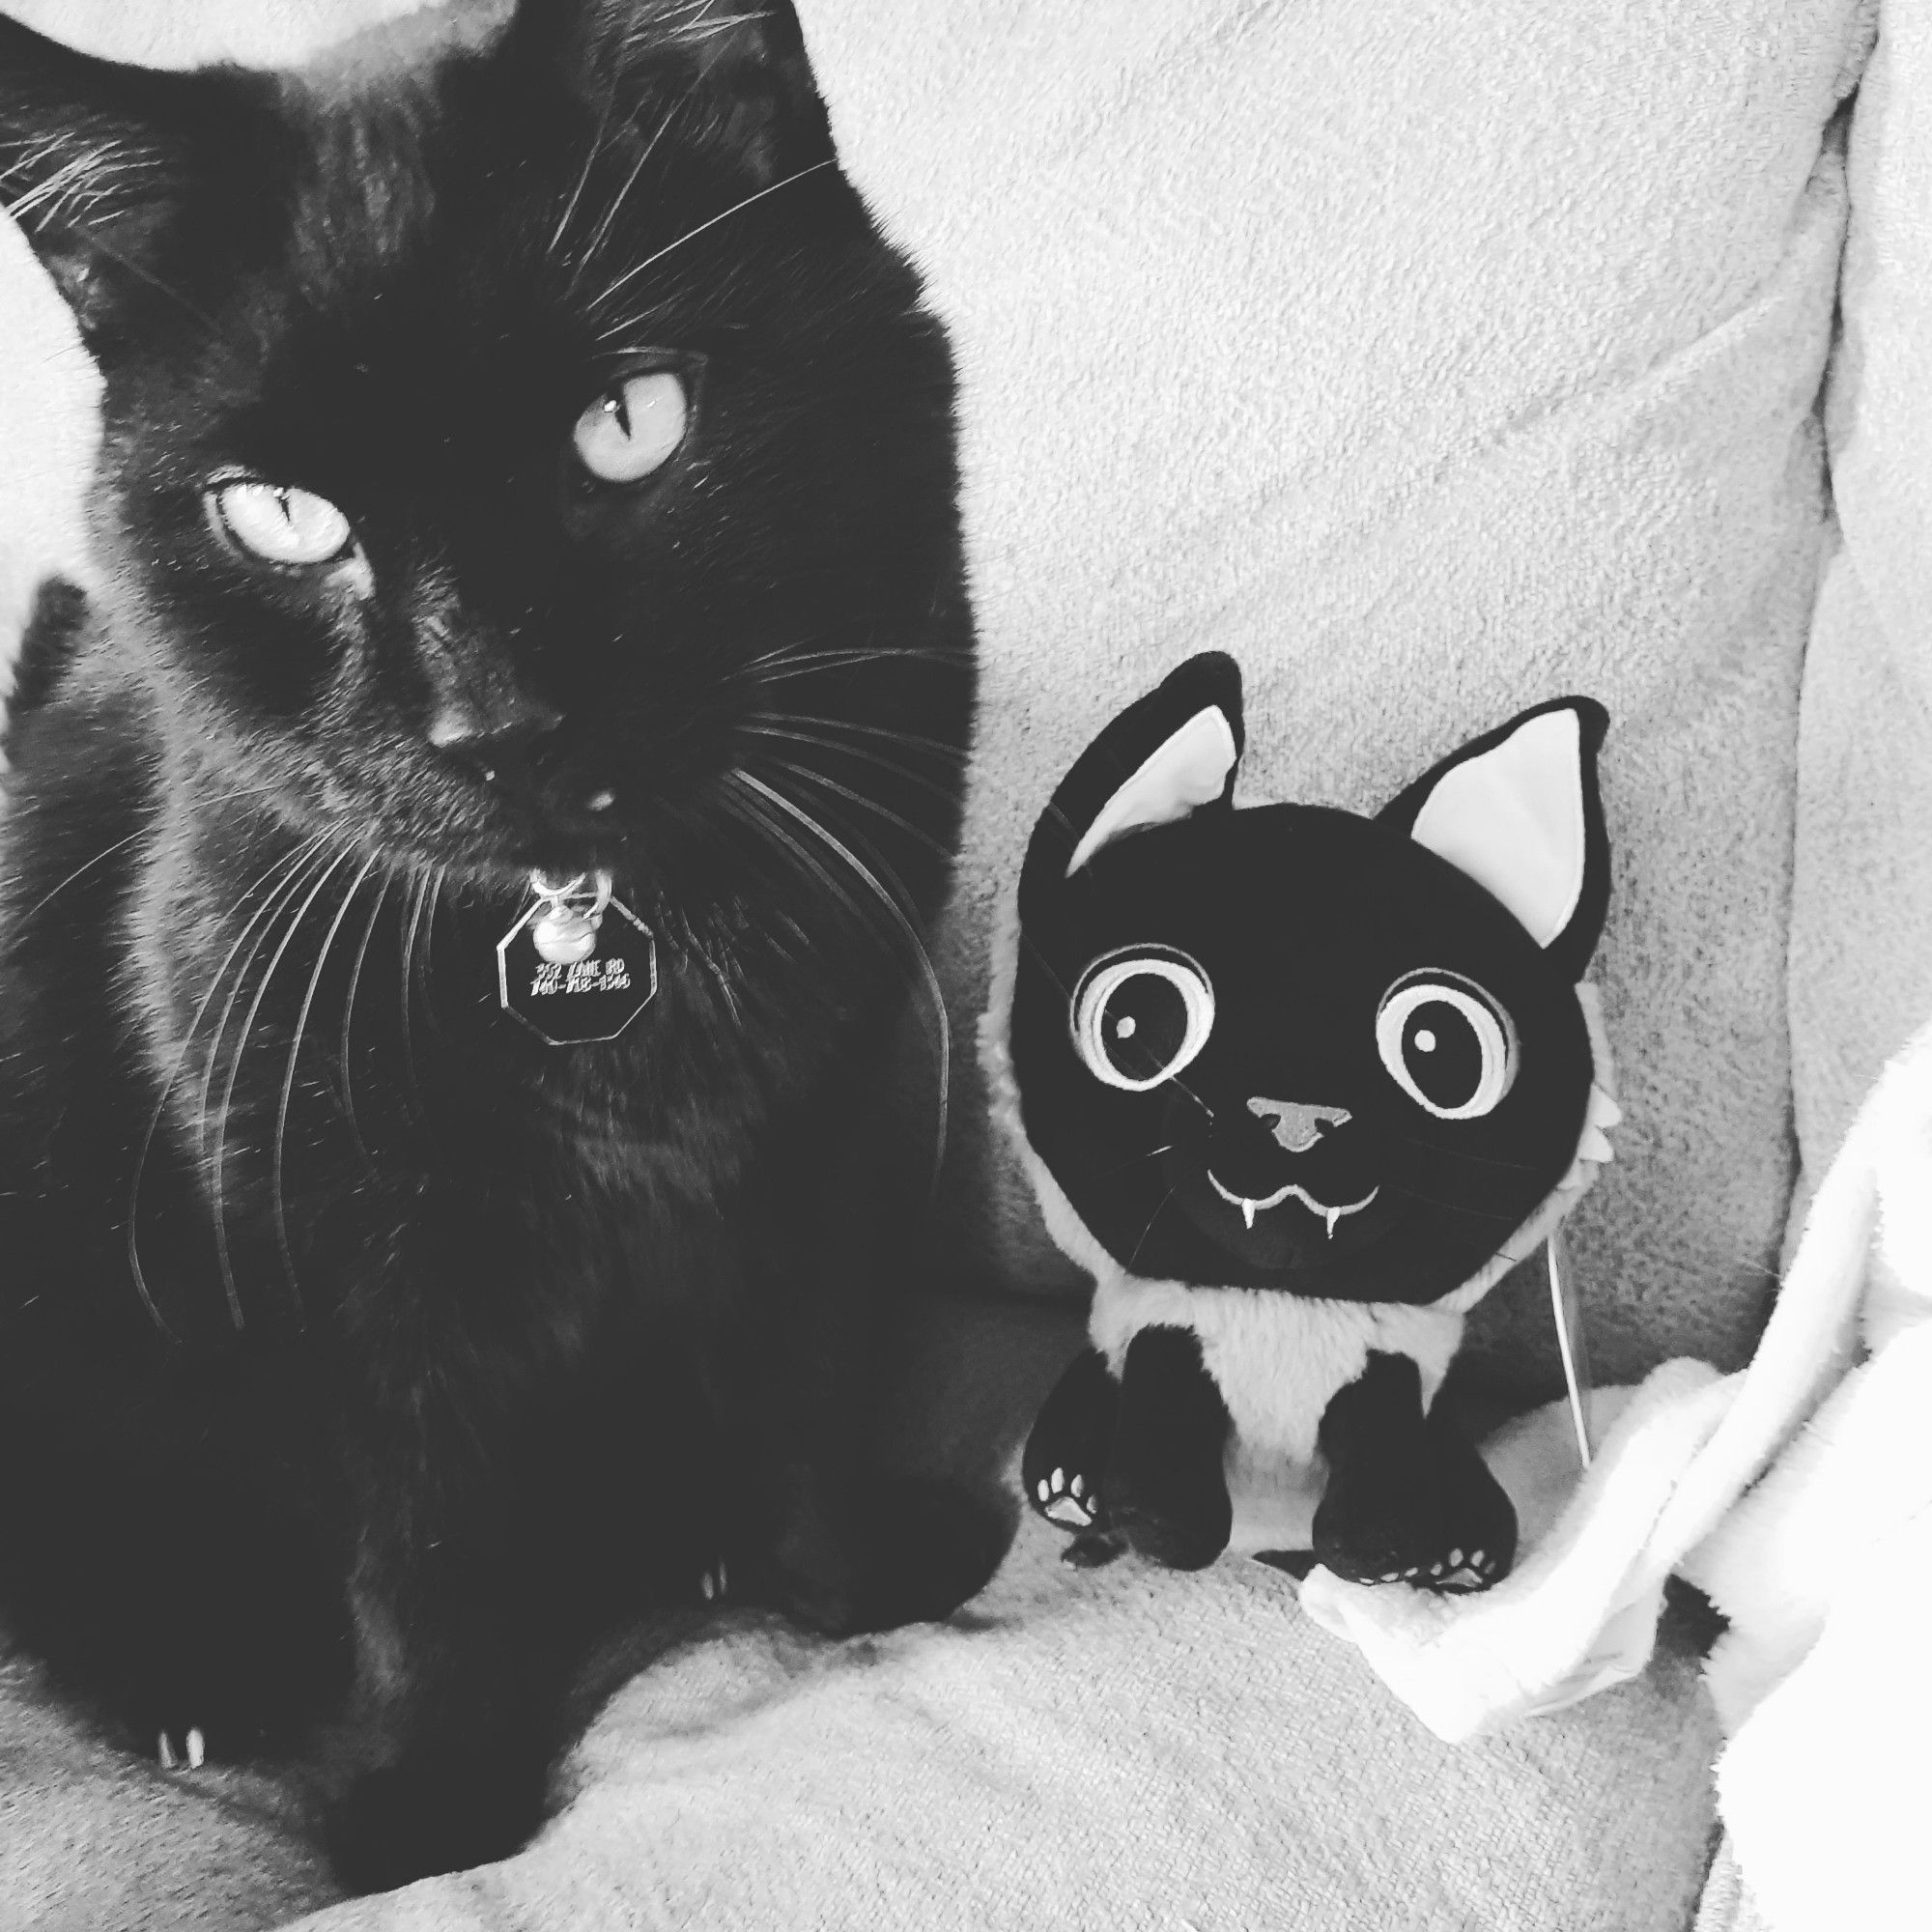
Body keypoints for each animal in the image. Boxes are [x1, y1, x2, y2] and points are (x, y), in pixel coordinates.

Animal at [0, 0, 997, 1886]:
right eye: (280, 516)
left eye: (629, 420)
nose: (495, 723)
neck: (597, 944)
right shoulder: (333, 1239)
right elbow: (427, 1544)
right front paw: (435, 1815)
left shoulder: (828, 1115)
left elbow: (811, 1376)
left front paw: (849, 1584)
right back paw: (195, 1672)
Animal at [997, 657, 1615, 1592]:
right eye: (1135, 1023)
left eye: (1443, 1051)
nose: (1298, 1117)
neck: (1282, 1309)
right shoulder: (1167, 1332)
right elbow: (1158, 1435)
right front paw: (1159, 1525)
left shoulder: (1386, 1367)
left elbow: (1385, 1465)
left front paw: (1384, 1555)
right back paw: (1074, 1489)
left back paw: (1464, 1551)